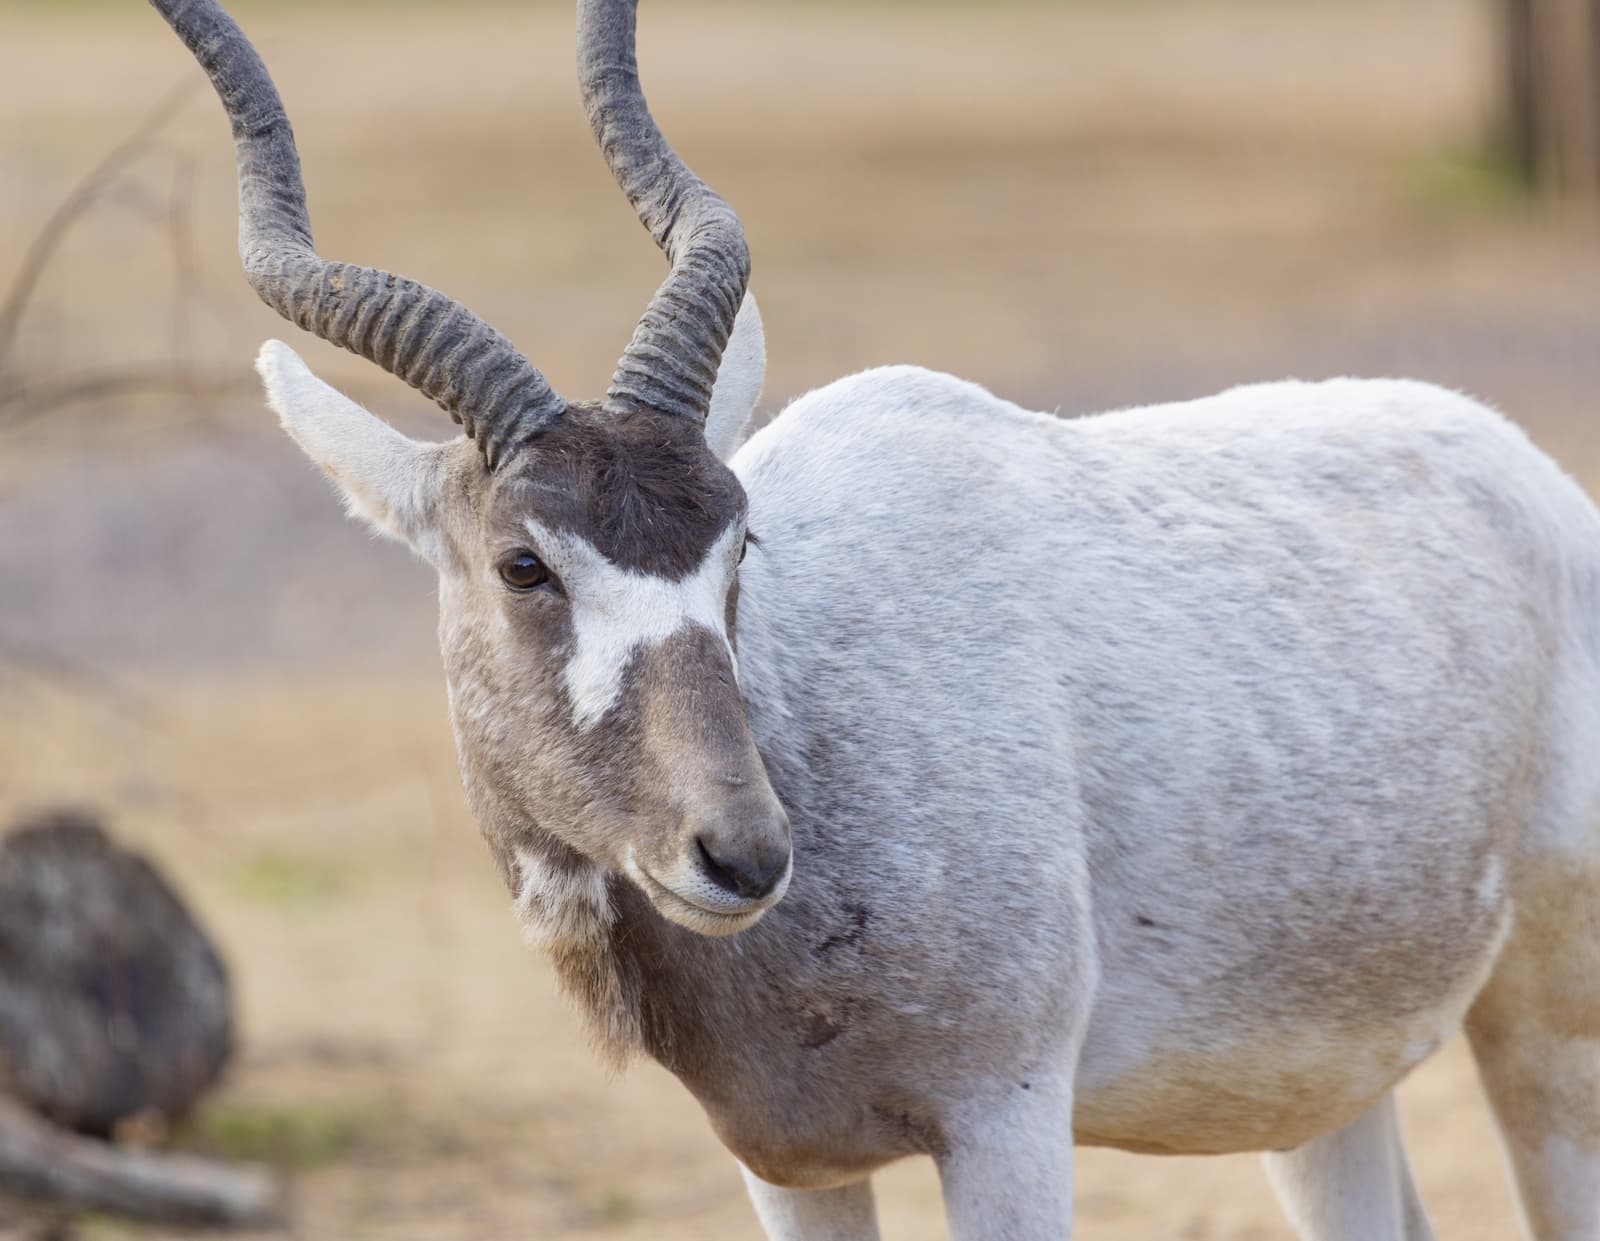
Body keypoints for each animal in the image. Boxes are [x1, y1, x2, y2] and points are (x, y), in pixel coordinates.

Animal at [149, 0, 1600, 1237]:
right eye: (522, 562)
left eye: (738, 543)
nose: (738, 853)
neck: (812, 730)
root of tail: (1538, 484)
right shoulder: (785, 1164)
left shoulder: (1007, 1123)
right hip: (1315, 1093)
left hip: (1549, 1025)